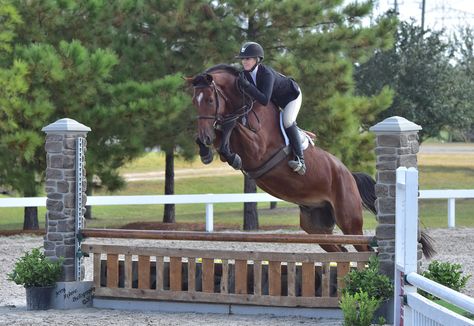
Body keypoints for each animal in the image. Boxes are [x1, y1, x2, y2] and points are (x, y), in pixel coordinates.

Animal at [187, 63, 436, 256]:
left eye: (210, 100)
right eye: (194, 101)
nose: (205, 136)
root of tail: (349, 175)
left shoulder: (257, 149)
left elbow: (232, 127)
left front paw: (229, 153)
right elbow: (222, 133)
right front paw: (206, 150)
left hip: (349, 219)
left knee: (363, 249)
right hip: (316, 226)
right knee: (340, 251)